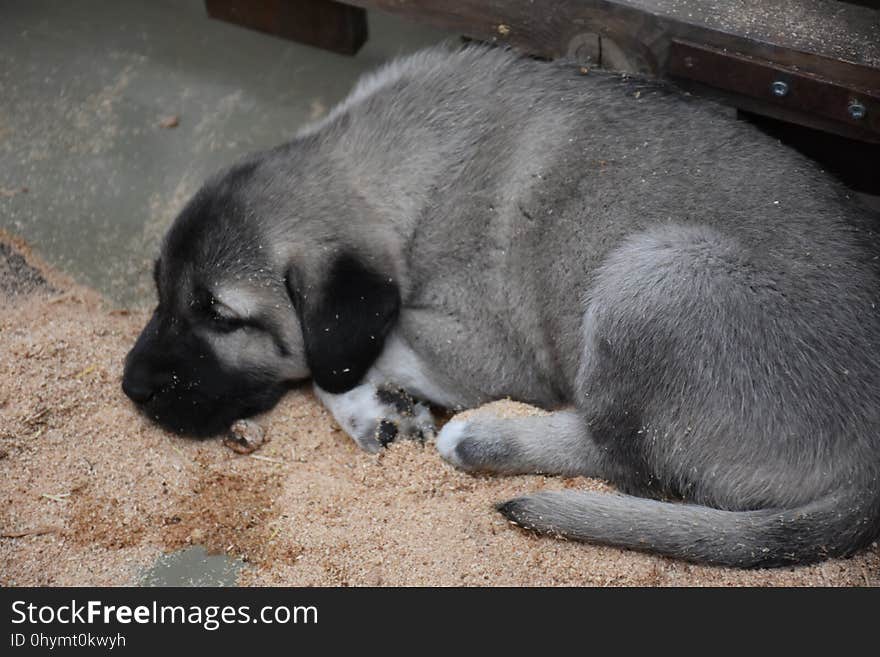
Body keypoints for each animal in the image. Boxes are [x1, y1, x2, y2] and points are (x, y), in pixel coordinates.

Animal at [124, 46, 880, 568]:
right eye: (160, 290)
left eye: (222, 316)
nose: (131, 387)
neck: (393, 175)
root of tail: (868, 462)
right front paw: (380, 412)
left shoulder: (479, 349)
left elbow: (329, 364)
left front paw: (373, 407)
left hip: (654, 274)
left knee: (631, 458)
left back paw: (484, 437)